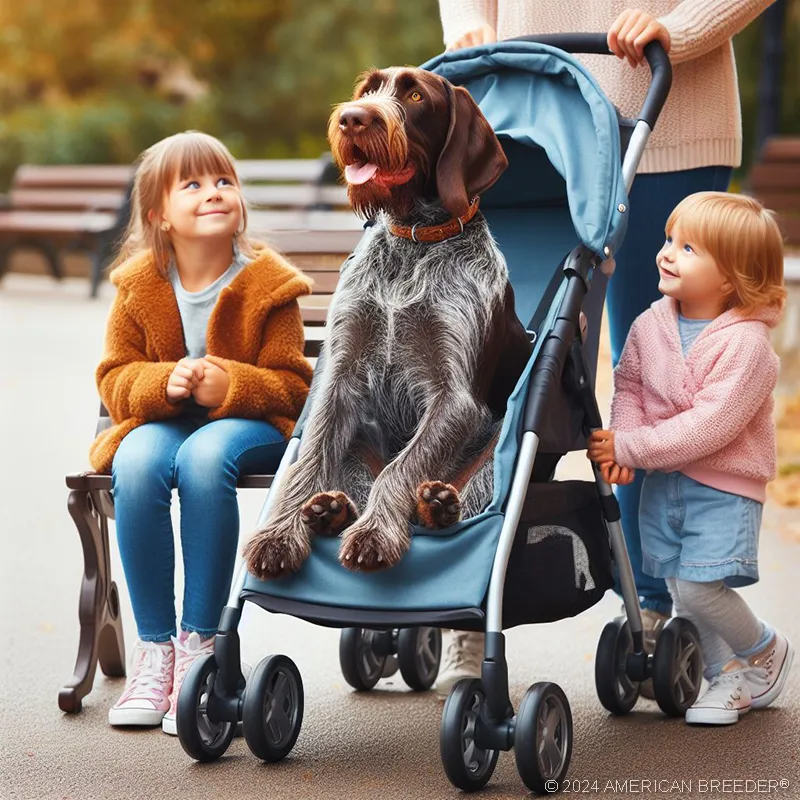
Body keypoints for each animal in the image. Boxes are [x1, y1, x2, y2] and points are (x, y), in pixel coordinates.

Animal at [244, 65, 532, 580]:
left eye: (416, 97)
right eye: (368, 90)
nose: (353, 119)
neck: (414, 240)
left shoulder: (454, 399)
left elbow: (403, 468)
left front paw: (376, 533)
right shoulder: (339, 378)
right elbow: (307, 461)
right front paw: (279, 533)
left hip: (499, 442)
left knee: (467, 499)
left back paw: (437, 507)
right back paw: (331, 511)